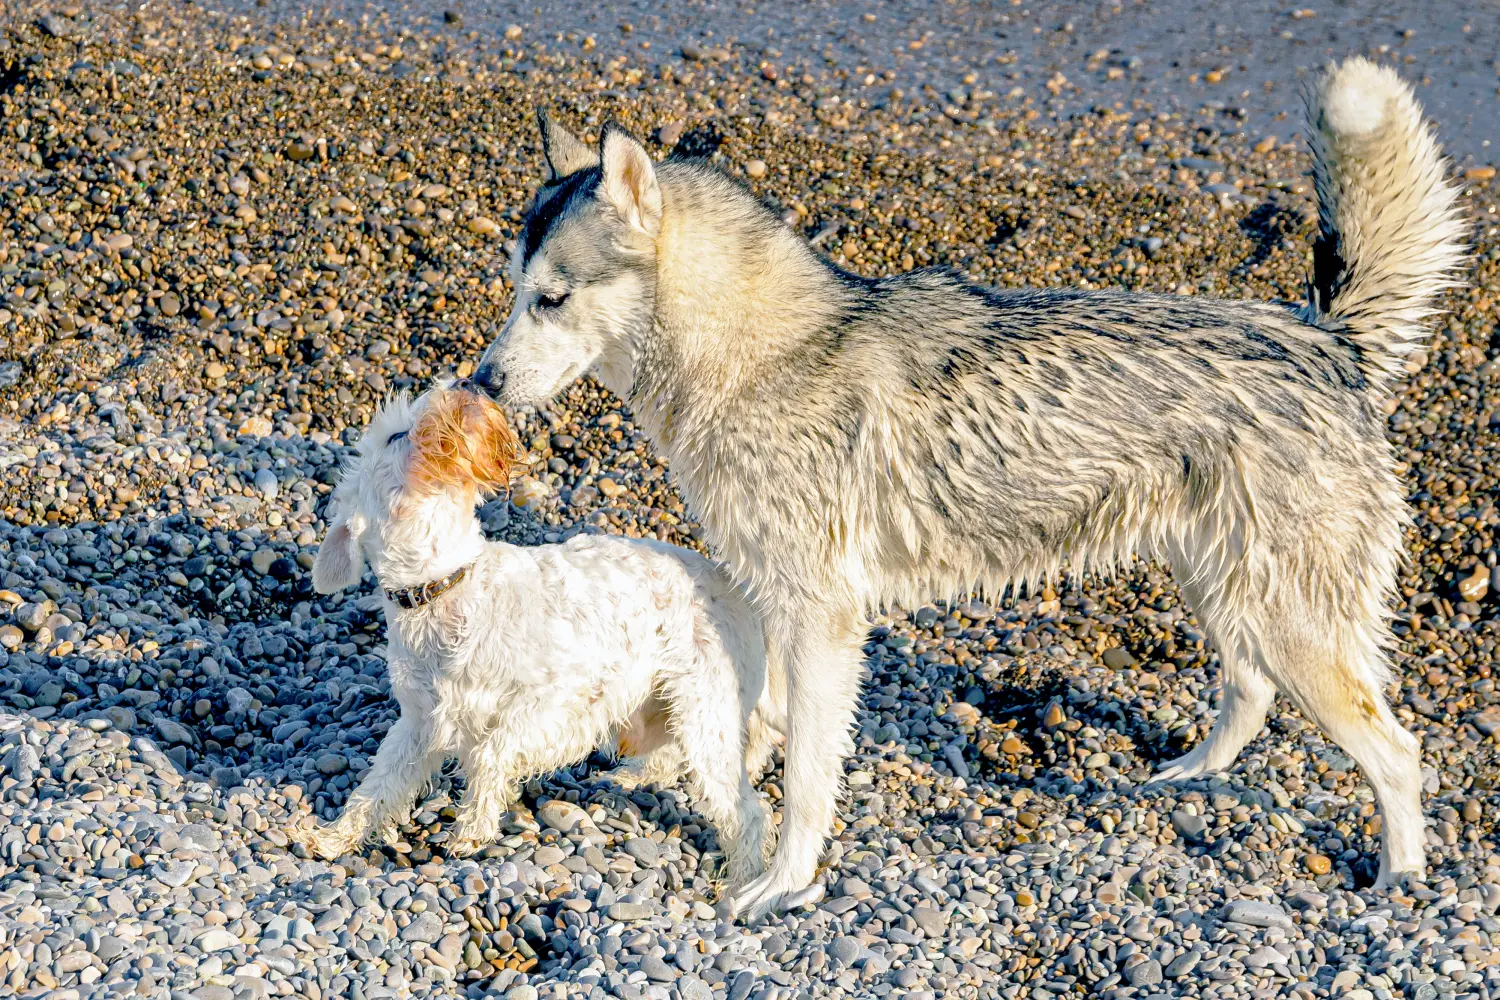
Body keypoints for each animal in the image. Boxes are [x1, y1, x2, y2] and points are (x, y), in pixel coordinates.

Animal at [300, 383, 780, 881]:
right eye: (397, 436)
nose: (462, 386)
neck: (445, 587)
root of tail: (736, 586)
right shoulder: (419, 723)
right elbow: (375, 787)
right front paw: (332, 838)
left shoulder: (554, 702)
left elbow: (490, 751)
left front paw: (471, 828)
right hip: (671, 707)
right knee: (683, 765)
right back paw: (632, 777)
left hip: (703, 709)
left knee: (748, 810)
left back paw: (744, 878)